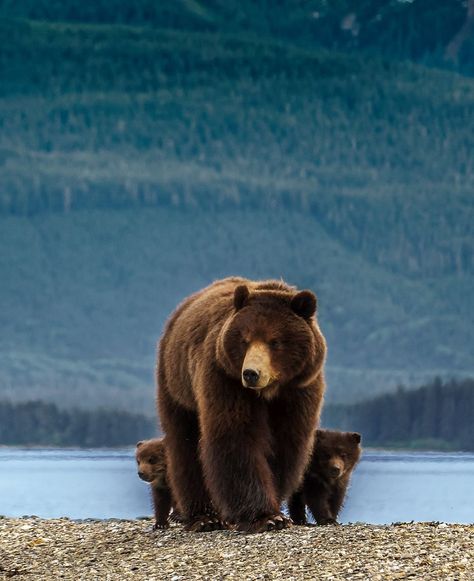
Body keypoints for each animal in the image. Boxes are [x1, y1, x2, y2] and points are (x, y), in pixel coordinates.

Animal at [156, 276, 326, 532]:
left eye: (274, 341)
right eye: (245, 340)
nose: (251, 373)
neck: (268, 392)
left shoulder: (298, 391)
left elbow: (284, 443)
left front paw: (274, 507)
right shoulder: (225, 379)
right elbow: (236, 436)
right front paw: (266, 517)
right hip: (177, 386)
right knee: (184, 445)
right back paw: (204, 517)